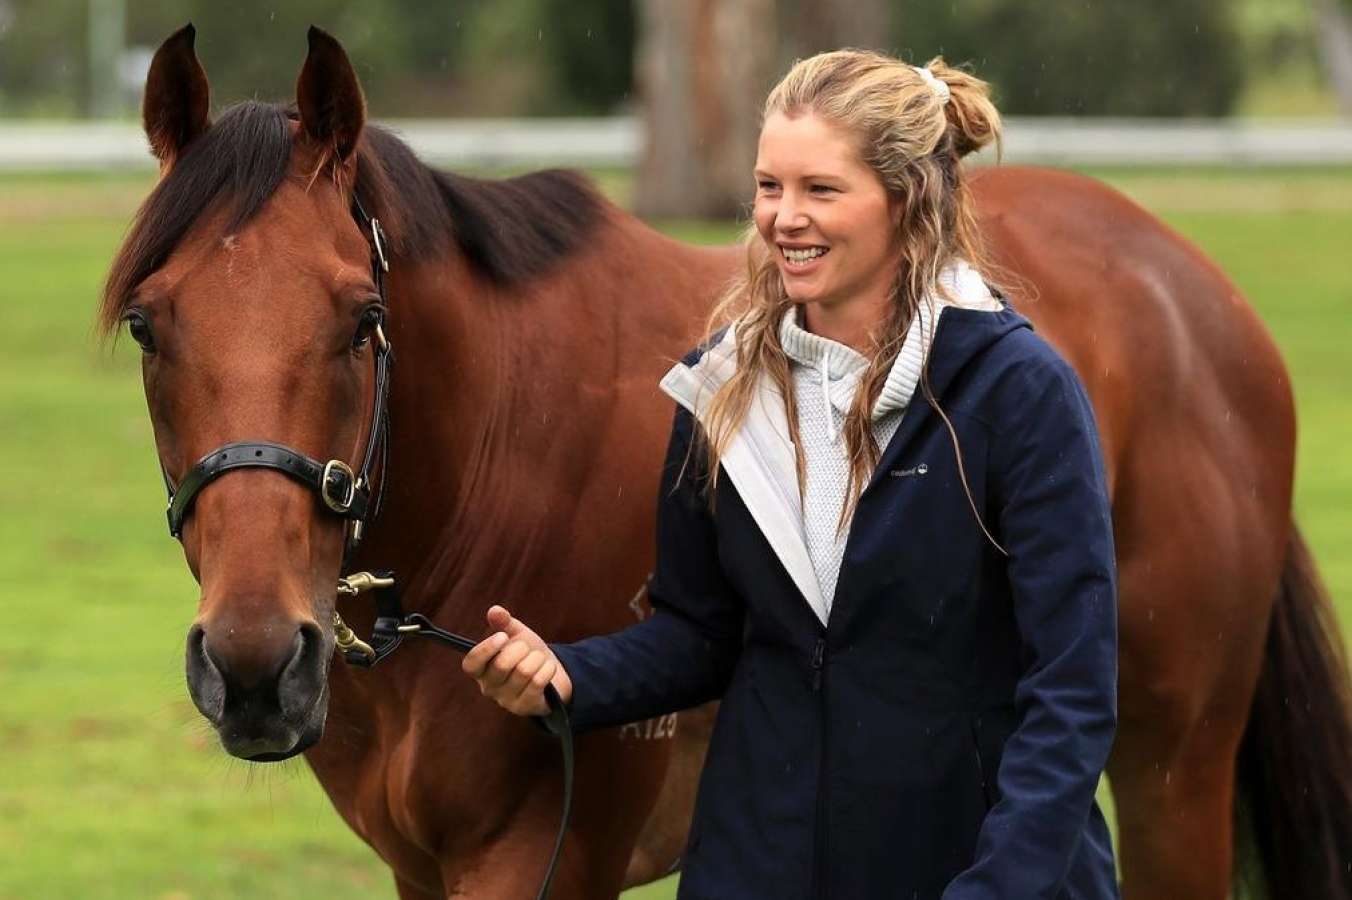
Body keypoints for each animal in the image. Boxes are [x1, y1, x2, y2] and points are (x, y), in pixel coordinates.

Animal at [108, 24, 1352, 897]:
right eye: (150, 326)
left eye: (361, 318)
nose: (255, 664)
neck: (490, 479)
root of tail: (1197, 298)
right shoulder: (423, 869)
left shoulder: (543, 858)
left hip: (1168, 771)